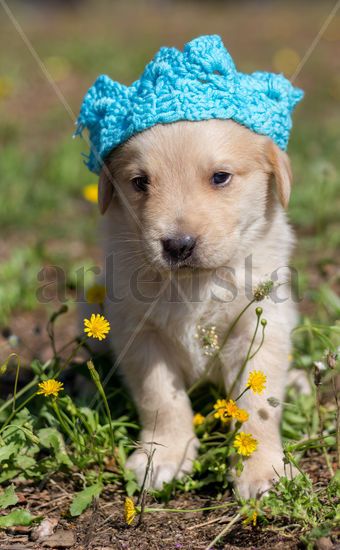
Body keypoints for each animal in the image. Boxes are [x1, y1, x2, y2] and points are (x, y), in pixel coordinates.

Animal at [97, 119, 296, 500]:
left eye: (220, 177)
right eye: (140, 182)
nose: (178, 245)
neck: (195, 283)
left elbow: (258, 407)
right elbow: (160, 398)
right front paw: (163, 456)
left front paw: (261, 469)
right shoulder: (140, 334)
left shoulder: (259, 329)